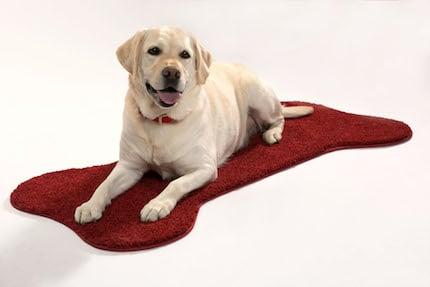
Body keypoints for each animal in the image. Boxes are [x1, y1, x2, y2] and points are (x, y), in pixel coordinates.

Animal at [74, 26, 312, 225]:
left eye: (185, 55)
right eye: (154, 50)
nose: (172, 73)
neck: (162, 119)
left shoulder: (204, 168)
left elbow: (175, 183)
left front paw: (156, 204)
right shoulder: (129, 166)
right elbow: (104, 184)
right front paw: (90, 205)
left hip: (259, 96)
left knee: (279, 118)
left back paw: (272, 133)